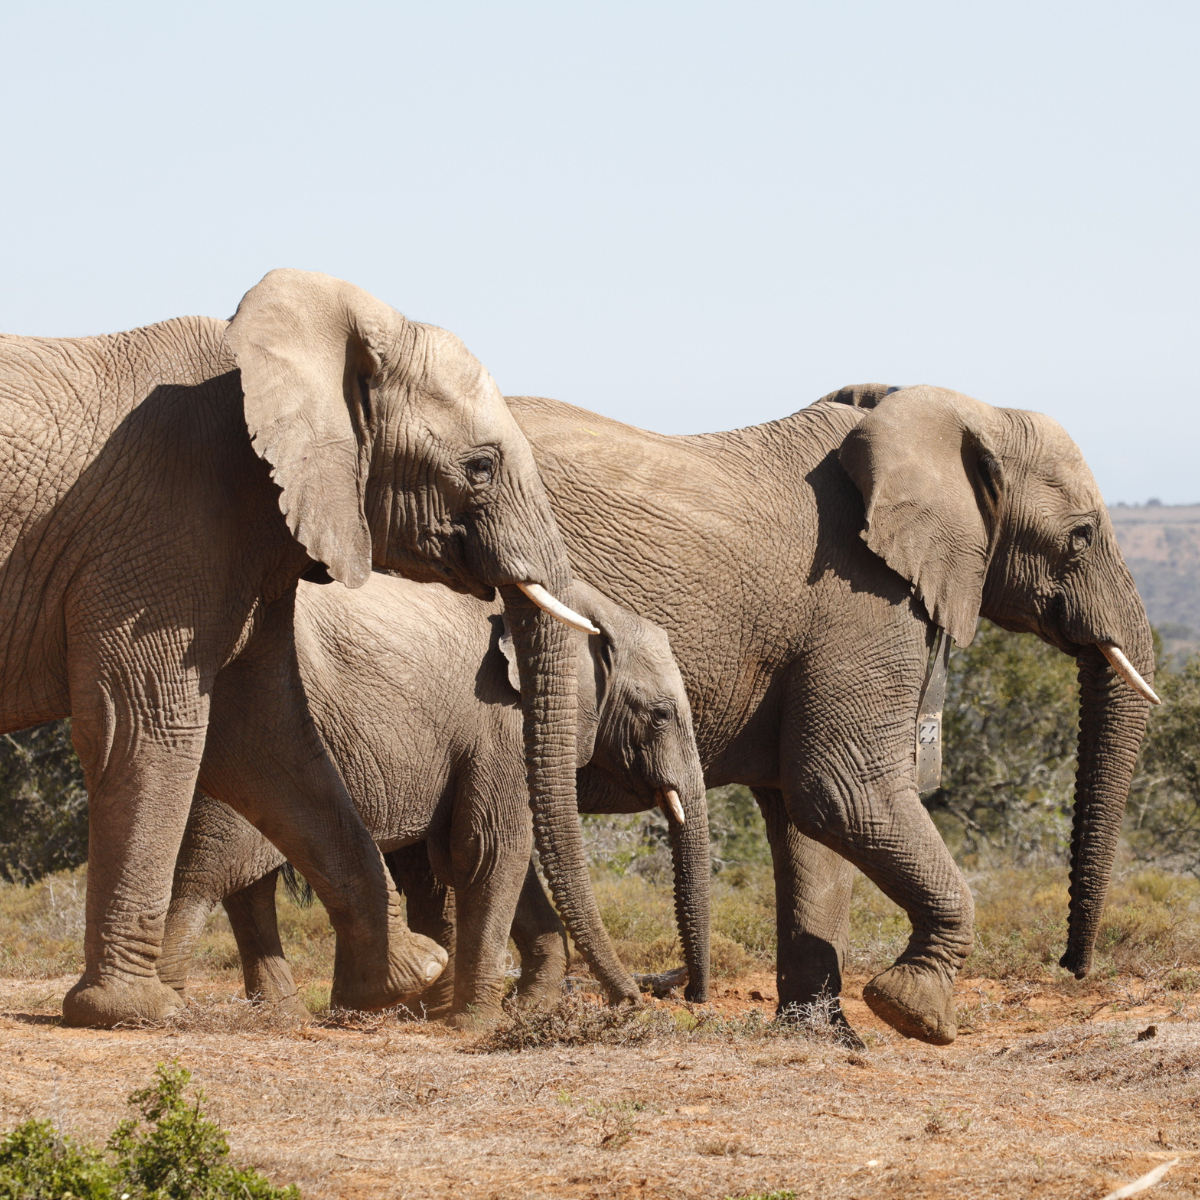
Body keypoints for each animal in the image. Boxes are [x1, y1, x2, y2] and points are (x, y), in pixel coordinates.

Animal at [0, 268, 629, 1027]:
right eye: (481, 466)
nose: (636, 1001)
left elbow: (268, 738)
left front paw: (402, 978)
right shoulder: (158, 533)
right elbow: (148, 727)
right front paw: (134, 1010)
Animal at [156, 572, 710, 1023]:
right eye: (660, 715)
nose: (641, 1003)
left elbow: (484, 855)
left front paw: (527, 1009)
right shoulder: (501, 722)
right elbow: (489, 850)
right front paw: (476, 1023)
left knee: (247, 881)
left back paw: (287, 1017)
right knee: (212, 872)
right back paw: (171, 1005)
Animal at [473, 382, 1156, 1045]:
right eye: (1081, 536)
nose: (1071, 966)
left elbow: (807, 824)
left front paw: (824, 1036)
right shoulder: (863, 600)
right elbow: (842, 789)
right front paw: (914, 1013)